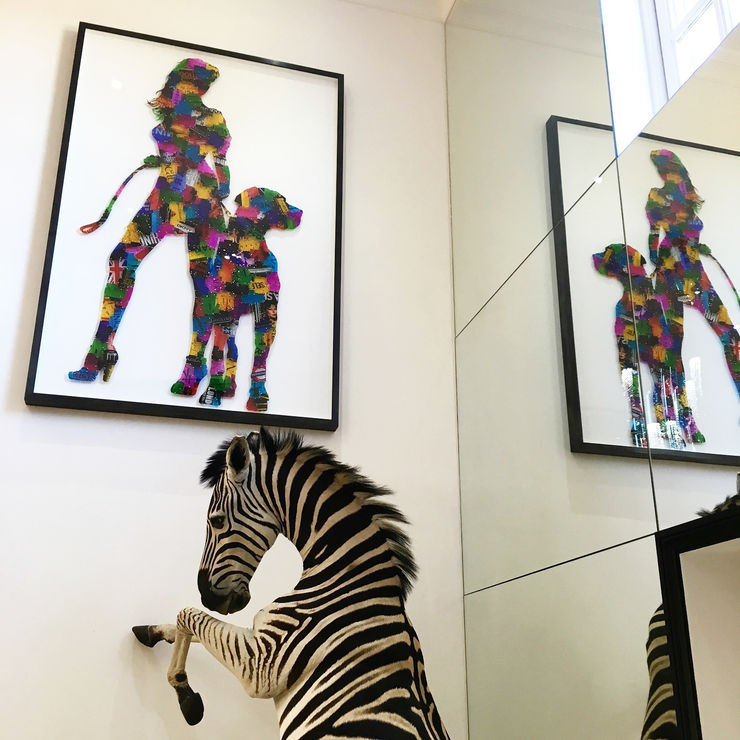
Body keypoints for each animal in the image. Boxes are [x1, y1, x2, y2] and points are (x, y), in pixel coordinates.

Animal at [133, 428, 451, 739]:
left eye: (217, 521)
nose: (207, 596)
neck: (347, 577)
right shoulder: (259, 639)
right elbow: (193, 625)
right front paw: (151, 631)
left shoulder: (260, 663)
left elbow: (189, 615)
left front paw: (184, 694)